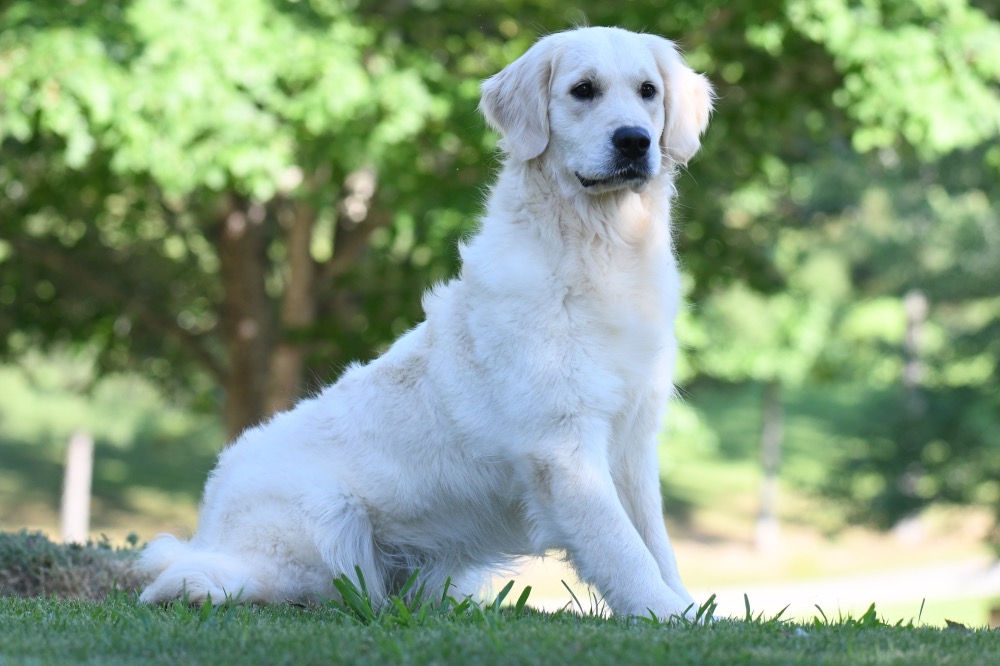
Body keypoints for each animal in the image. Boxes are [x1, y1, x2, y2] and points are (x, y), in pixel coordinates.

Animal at [137, 24, 716, 616]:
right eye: (583, 90)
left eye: (648, 91)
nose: (634, 141)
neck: (601, 251)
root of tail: (208, 520)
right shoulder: (563, 447)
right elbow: (623, 549)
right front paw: (670, 614)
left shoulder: (633, 442)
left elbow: (655, 542)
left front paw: (690, 607)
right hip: (324, 523)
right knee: (191, 574)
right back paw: (194, 584)